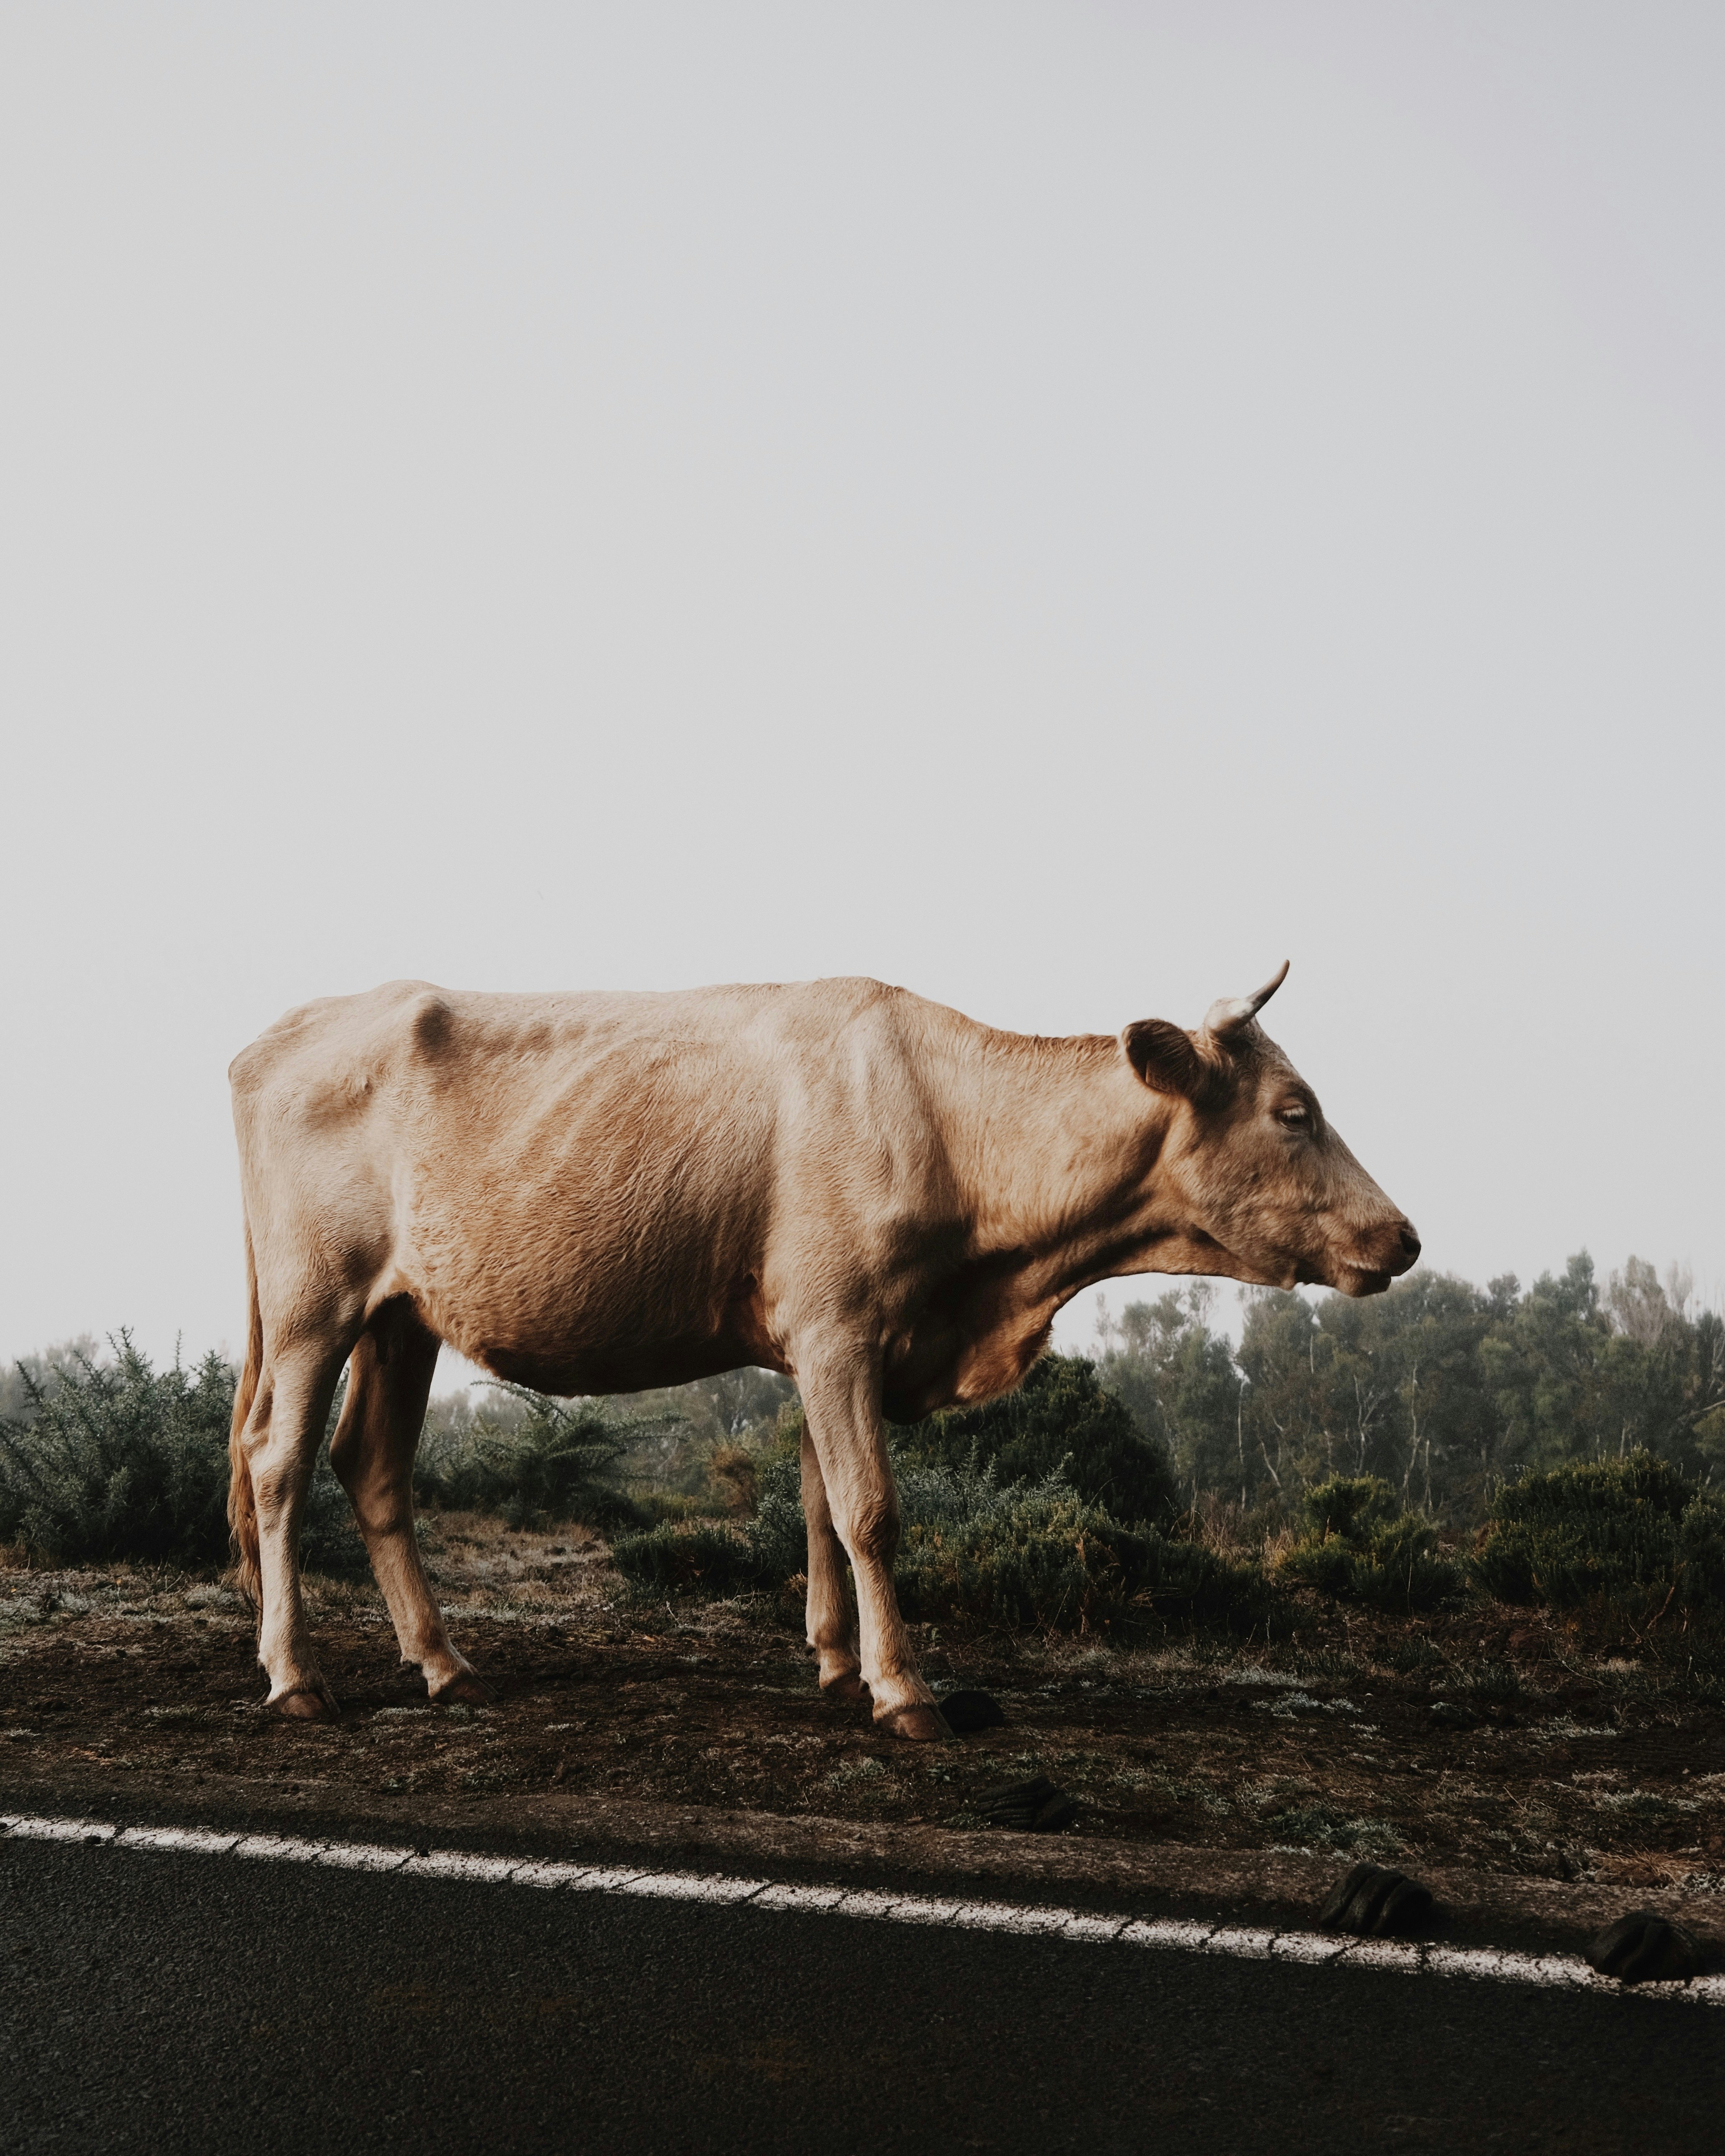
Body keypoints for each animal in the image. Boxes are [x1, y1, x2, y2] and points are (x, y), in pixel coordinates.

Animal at [226, 965, 1417, 1737]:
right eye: (1294, 1110)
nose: (1403, 1236)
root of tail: (280, 1035)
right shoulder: (838, 1325)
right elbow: (870, 1509)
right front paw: (905, 1692)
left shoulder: (836, 1343)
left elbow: (814, 1503)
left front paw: (840, 1666)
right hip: (314, 1301)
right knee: (278, 1462)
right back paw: (296, 1679)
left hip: (402, 1315)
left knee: (371, 1467)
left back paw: (444, 1665)